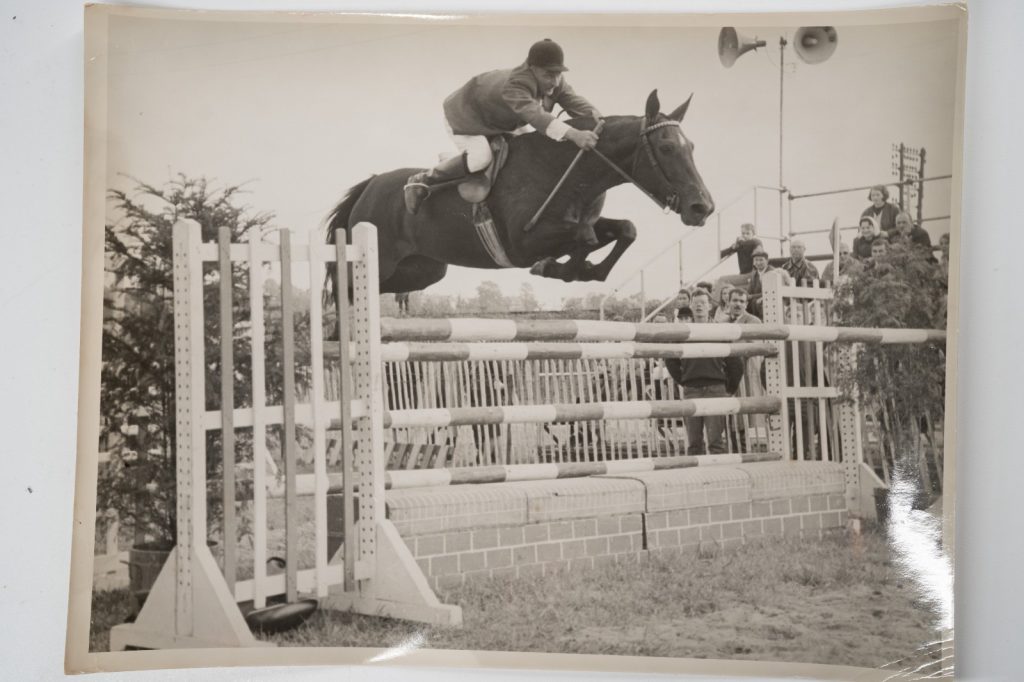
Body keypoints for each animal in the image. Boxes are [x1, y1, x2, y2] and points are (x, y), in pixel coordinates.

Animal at [325, 90, 714, 297]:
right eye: (666, 148)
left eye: (693, 147)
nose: (703, 208)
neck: (570, 171)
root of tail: (370, 186)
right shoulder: (523, 242)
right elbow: (585, 238)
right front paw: (557, 268)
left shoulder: (581, 221)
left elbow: (623, 230)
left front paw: (581, 270)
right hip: (376, 263)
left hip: (423, 270)